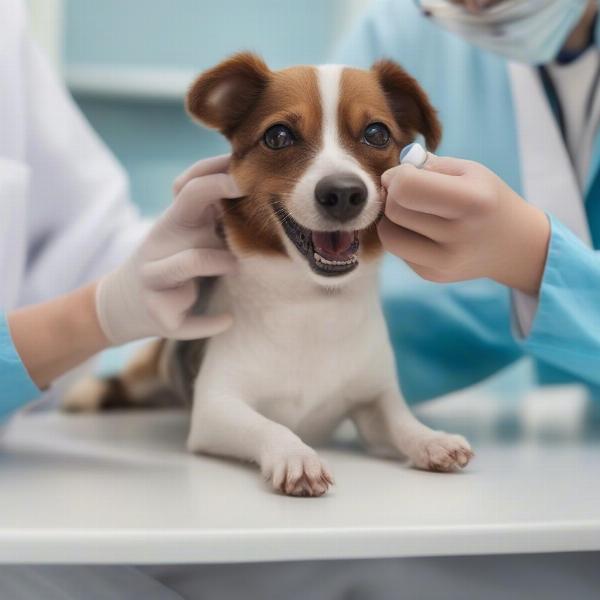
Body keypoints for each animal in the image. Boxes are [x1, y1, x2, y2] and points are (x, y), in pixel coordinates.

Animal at [67, 54, 474, 494]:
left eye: (377, 134)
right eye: (278, 136)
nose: (343, 193)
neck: (312, 302)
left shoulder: (373, 401)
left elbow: (400, 422)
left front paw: (431, 439)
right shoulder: (216, 408)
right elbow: (270, 427)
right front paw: (296, 456)